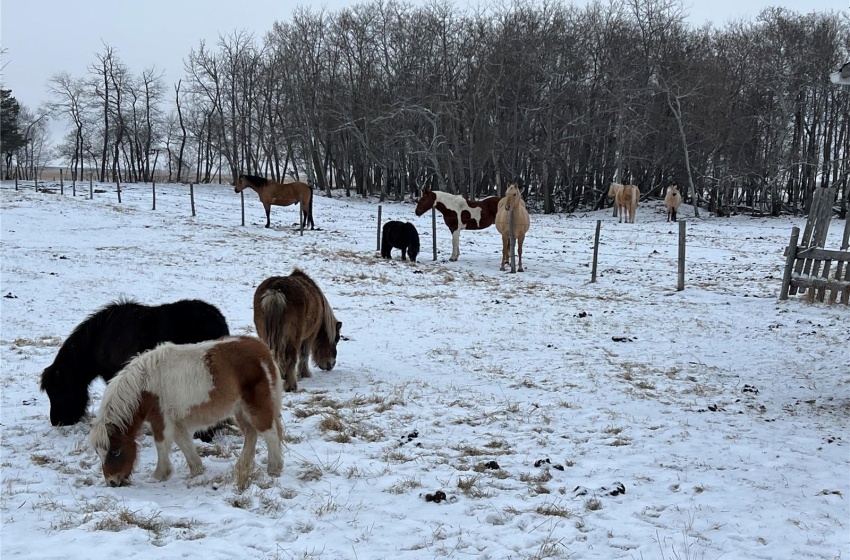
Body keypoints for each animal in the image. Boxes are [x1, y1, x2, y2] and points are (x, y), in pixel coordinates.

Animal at [89, 334, 284, 488]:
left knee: (270, 433)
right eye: (98, 453)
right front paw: (197, 469)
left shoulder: (161, 419)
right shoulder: (175, 421)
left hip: (256, 407)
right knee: (251, 434)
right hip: (240, 409)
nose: (112, 482)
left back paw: (274, 469)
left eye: (116, 451)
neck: (145, 386)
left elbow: (161, 444)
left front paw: (159, 475)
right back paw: (242, 467)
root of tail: (263, 350)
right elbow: (183, 442)